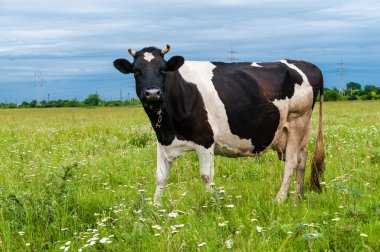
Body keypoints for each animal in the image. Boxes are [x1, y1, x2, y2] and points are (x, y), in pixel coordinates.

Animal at [113, 44, 324, 204]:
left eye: (163, 69)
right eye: (136, 71)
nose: (152, 93)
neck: (167, 126)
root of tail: (307, 64)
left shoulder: (205, 139)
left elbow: (206, 175)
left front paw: (211, 205)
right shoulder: (163, 141)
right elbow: (160, 176)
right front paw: (156, 207)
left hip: (297, 121)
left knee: (291, 162)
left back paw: (280, 199)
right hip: (300, 128)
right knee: (302, 159)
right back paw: (298, 198)